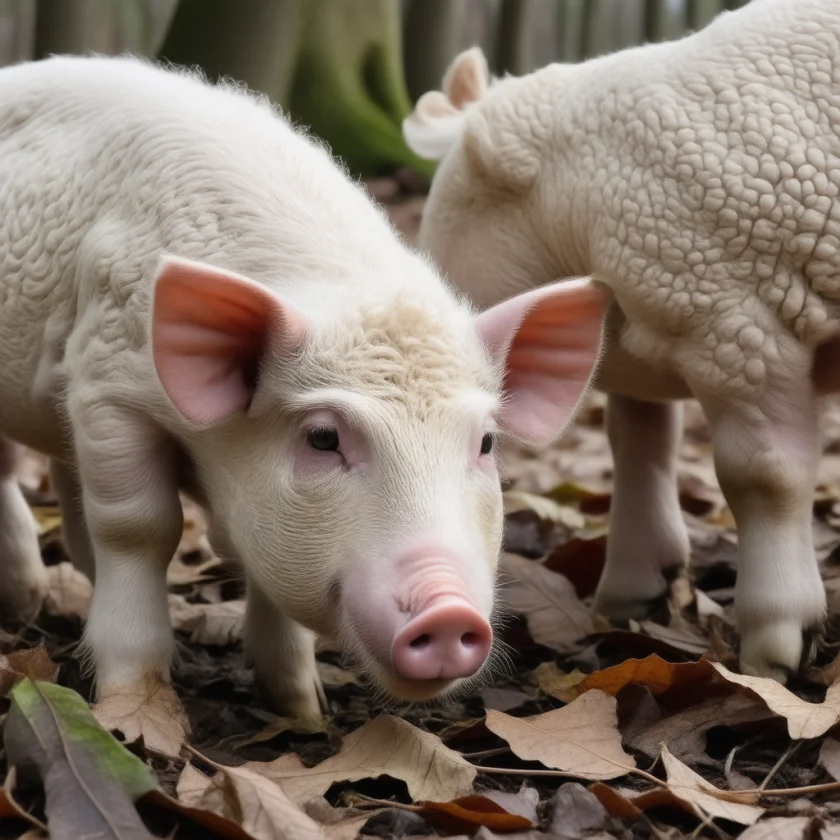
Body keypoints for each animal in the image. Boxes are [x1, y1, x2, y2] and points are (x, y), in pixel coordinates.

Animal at [0, 54, 609, 743]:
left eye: (485, 443)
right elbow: (140, 527)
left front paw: (304, 709)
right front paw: (135, 706)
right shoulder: (106, 384)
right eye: (323, 437)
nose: (450, 612)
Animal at [402, 0, 840, 683]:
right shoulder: (676, 303)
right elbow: (640, 441)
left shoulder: (738, 320)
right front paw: (633, 589)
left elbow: (765, 474)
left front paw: (775, 642)